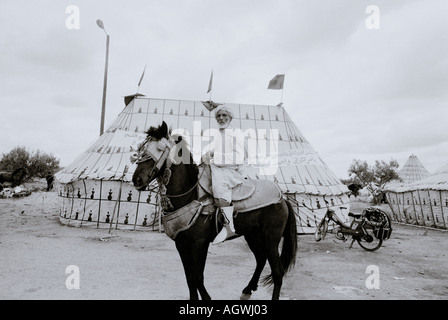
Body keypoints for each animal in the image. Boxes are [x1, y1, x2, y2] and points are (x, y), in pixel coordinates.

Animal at [130, 122, 298, 300]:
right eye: (142, 148)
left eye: (160, 148)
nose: (137, 180)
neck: (190, 194)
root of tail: (283, 199)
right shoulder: (181, 244)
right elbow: (190, 278)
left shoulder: (200, 243)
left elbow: (197, 277)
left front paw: (206, 298)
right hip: (252, 235)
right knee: (261, 259)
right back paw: (247, 290)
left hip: (271, 238)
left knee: (277, 272)